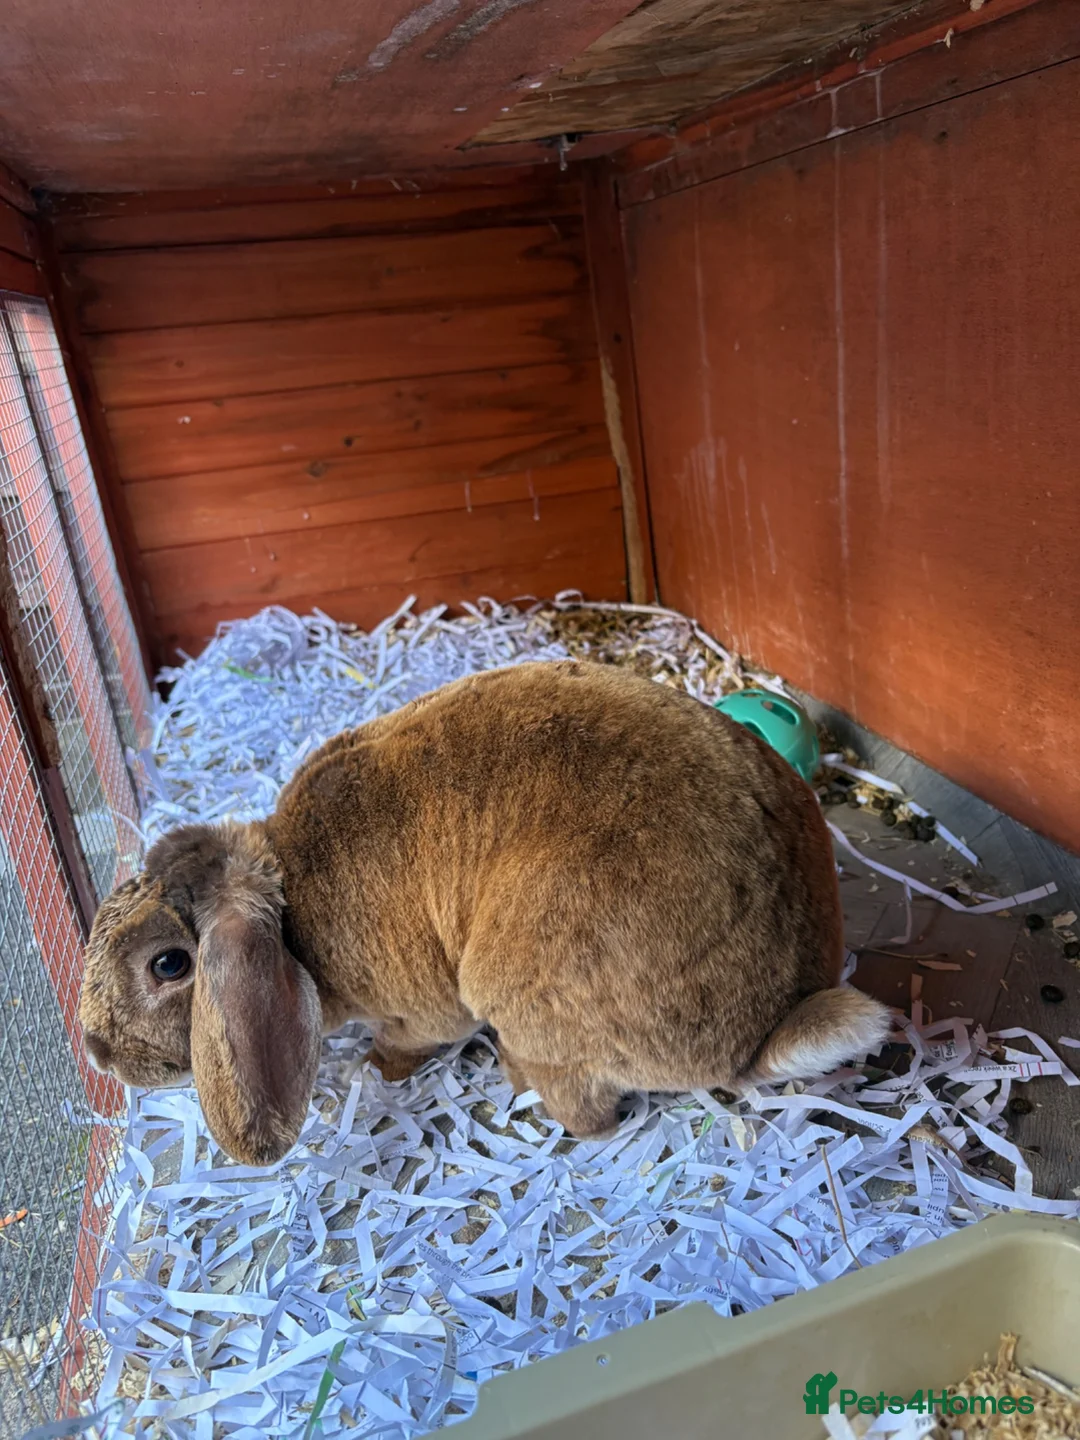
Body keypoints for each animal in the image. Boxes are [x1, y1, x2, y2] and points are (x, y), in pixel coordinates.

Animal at [78, 659, 891, 1166]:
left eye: (169, 965)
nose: (95, 1052)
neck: (291, 911)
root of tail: (763, 1029)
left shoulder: (420, 1007)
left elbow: (413, 1037)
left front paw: (376, 1067)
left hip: (525, 991)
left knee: (589, 1113)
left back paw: (519, 1080)